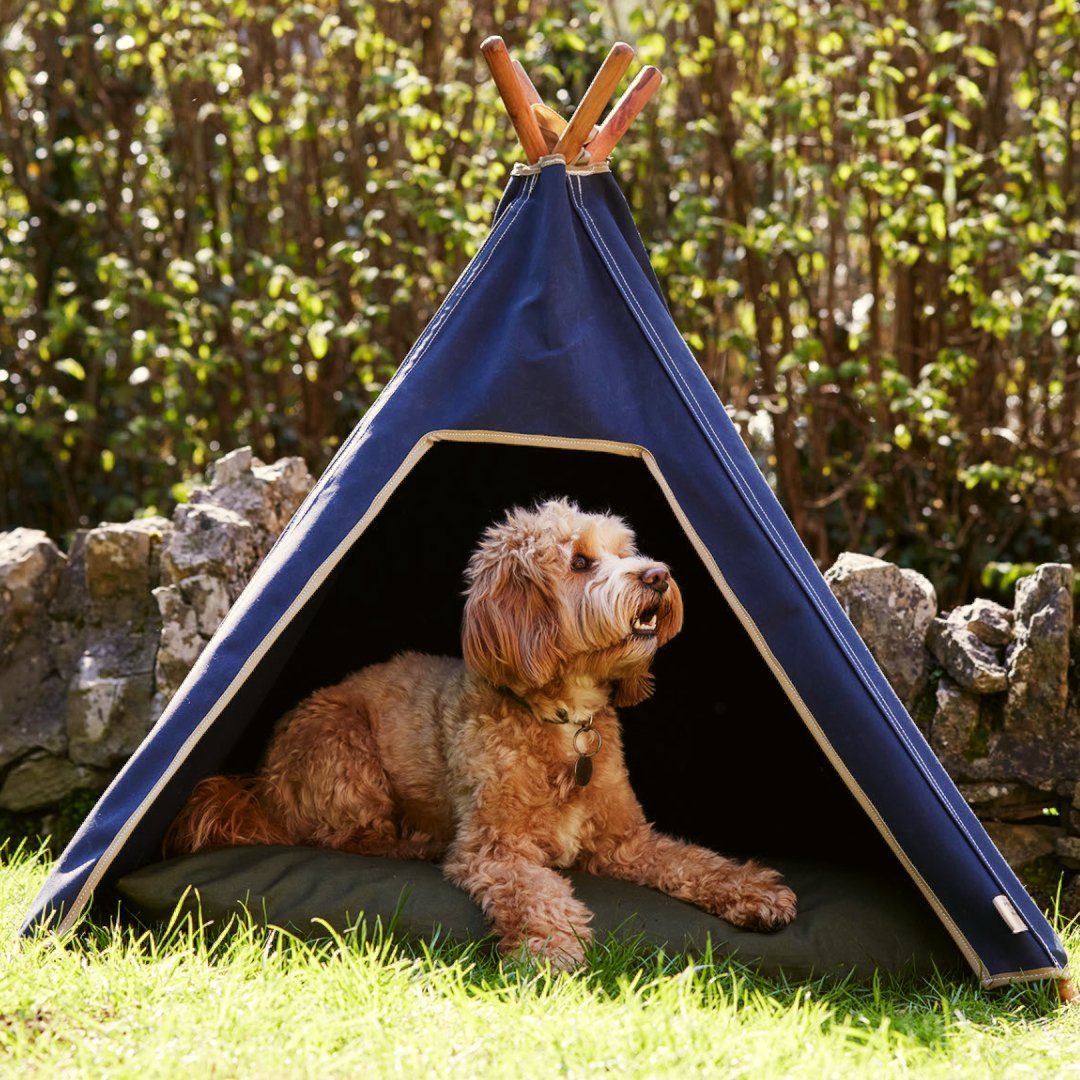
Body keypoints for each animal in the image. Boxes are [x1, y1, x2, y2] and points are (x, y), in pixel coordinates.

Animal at [168, 501, 794, 967]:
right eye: (580, 561)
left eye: (626, 552)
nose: (658, 575)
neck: (563, 720)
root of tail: (260, 787)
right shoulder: (495, 850)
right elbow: (538, 893)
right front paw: (550, 949)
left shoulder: (627, 840)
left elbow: (694, 861)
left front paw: (755, 891)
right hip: (344, 746)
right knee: (347, 838)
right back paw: (415, 842)